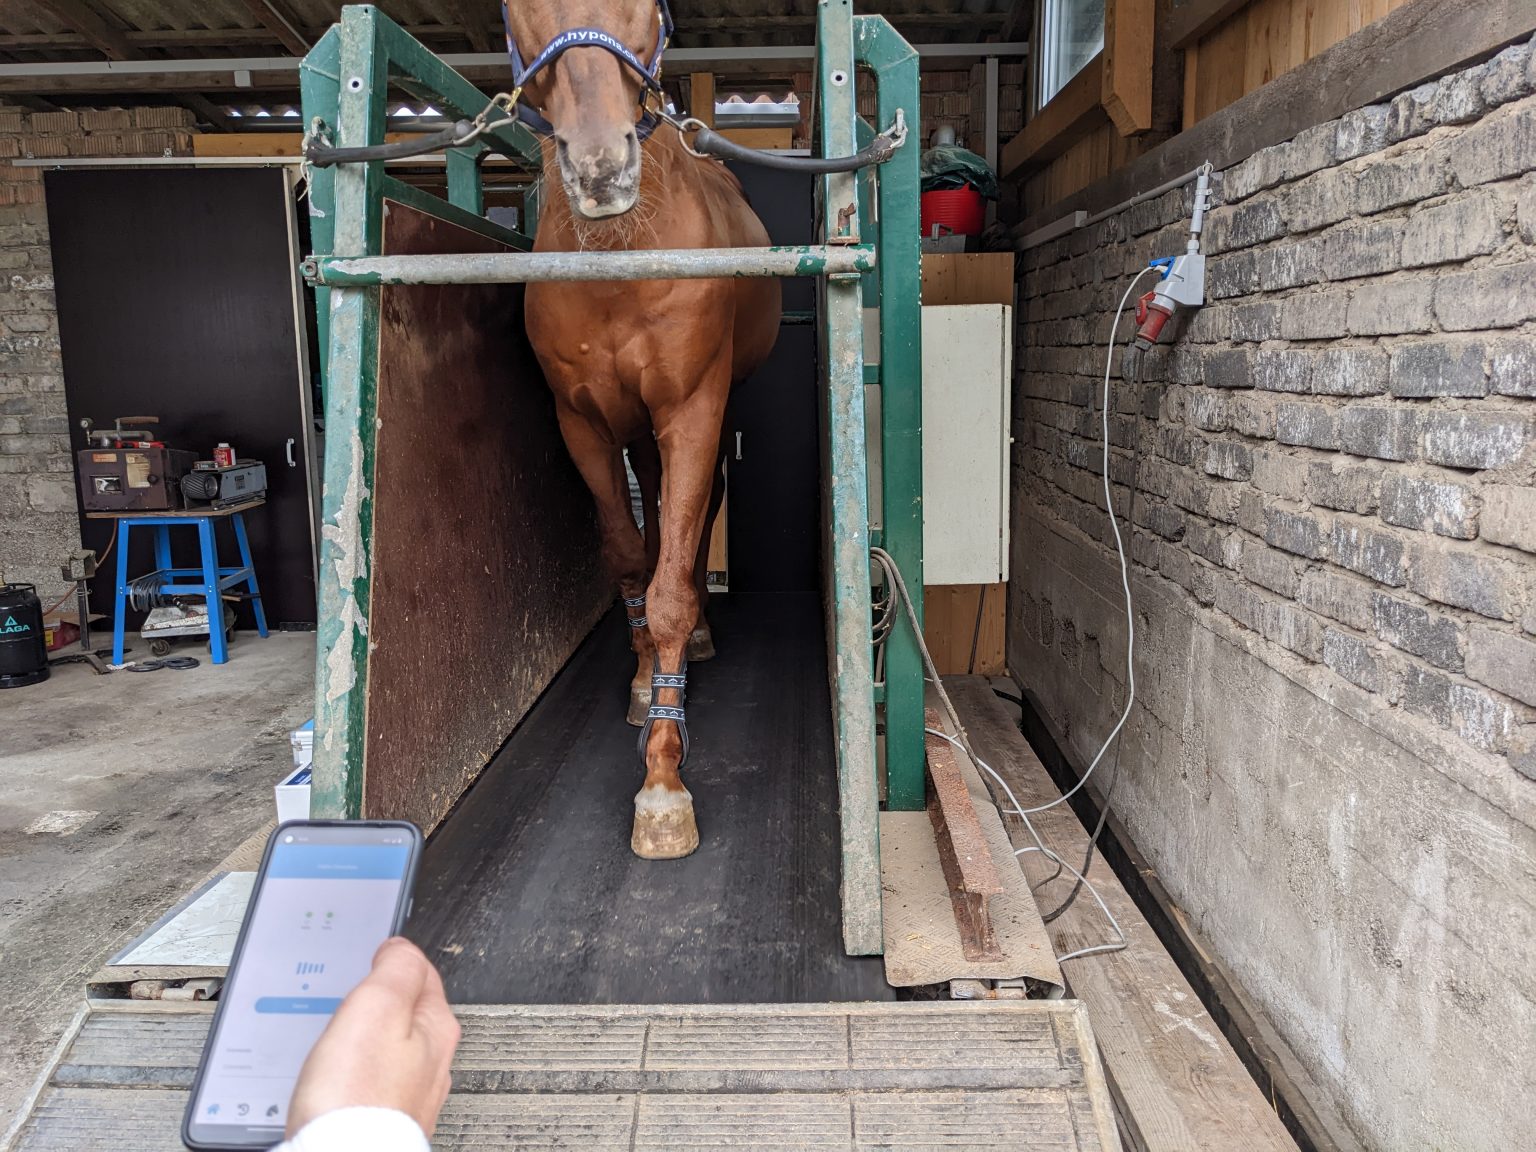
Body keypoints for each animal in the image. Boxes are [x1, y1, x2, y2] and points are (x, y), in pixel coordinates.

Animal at [502, 0, 782, 859]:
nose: (601, 167)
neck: (620, 263)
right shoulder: (583, 421)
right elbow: (630, 557)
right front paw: (643, 686)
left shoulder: (692, 409)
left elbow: (670, 589)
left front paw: (663, 780)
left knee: (691, 524)